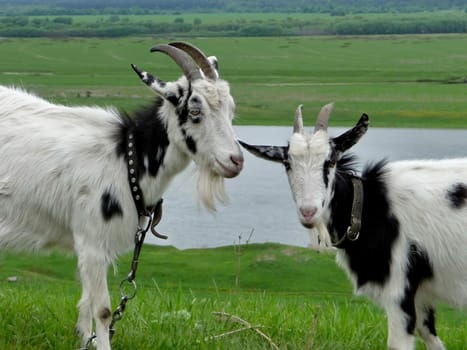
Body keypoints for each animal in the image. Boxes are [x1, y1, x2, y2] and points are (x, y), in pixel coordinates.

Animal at [0, 41, 247, 350]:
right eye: (194, 112)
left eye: (230, 110)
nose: (235, 160)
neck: (127, 157)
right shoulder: (92, 241)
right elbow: (103, 309)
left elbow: (85, 304)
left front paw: (86, 341)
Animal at [241, 104, 467, 350]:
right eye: (287, 163)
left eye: (330, 161)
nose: (308, 212)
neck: (369, 208)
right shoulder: (421, 295)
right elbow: (431, 337)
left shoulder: (399, 287)